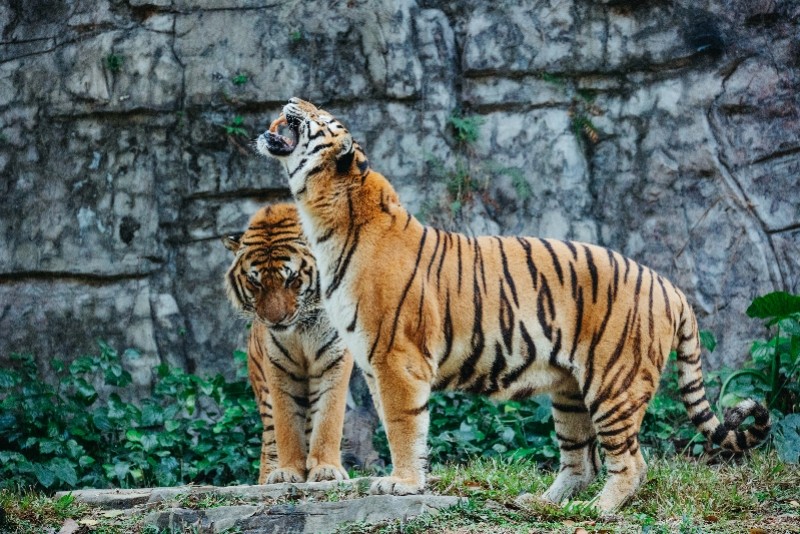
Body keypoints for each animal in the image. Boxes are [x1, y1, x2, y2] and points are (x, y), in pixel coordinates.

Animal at [223, 203, 352, 488]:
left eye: (291, 279)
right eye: (255, 282)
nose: (275, 319)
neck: (302, 328)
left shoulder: (334, 360)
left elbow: (328, 419)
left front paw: (326, 469)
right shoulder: (278, 367)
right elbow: (286, 426)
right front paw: (288, 472)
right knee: (271, 438)